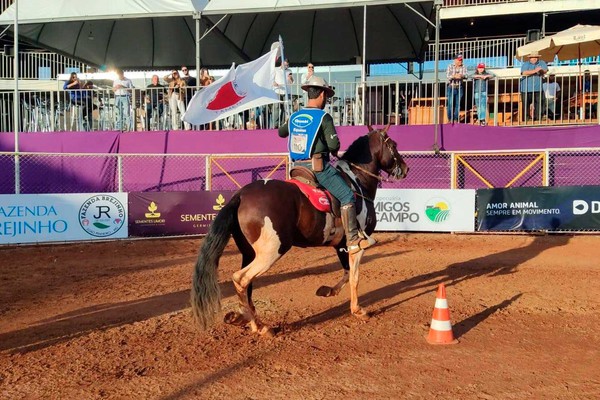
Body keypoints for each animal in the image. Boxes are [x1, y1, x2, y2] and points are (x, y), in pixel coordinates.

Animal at [191, 124, 408, 334]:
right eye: (394, 145)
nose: (405, 169)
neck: (357, 180)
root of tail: (241, 195)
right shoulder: (357, 245)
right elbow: (354, 276)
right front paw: (358, 310)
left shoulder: (341, 245)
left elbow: (347, 273)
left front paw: (328, 290)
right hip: (271, 252)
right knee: (241, 278)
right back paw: (258, 326)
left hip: (249, 252)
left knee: (247, 285)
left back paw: (248, 320)